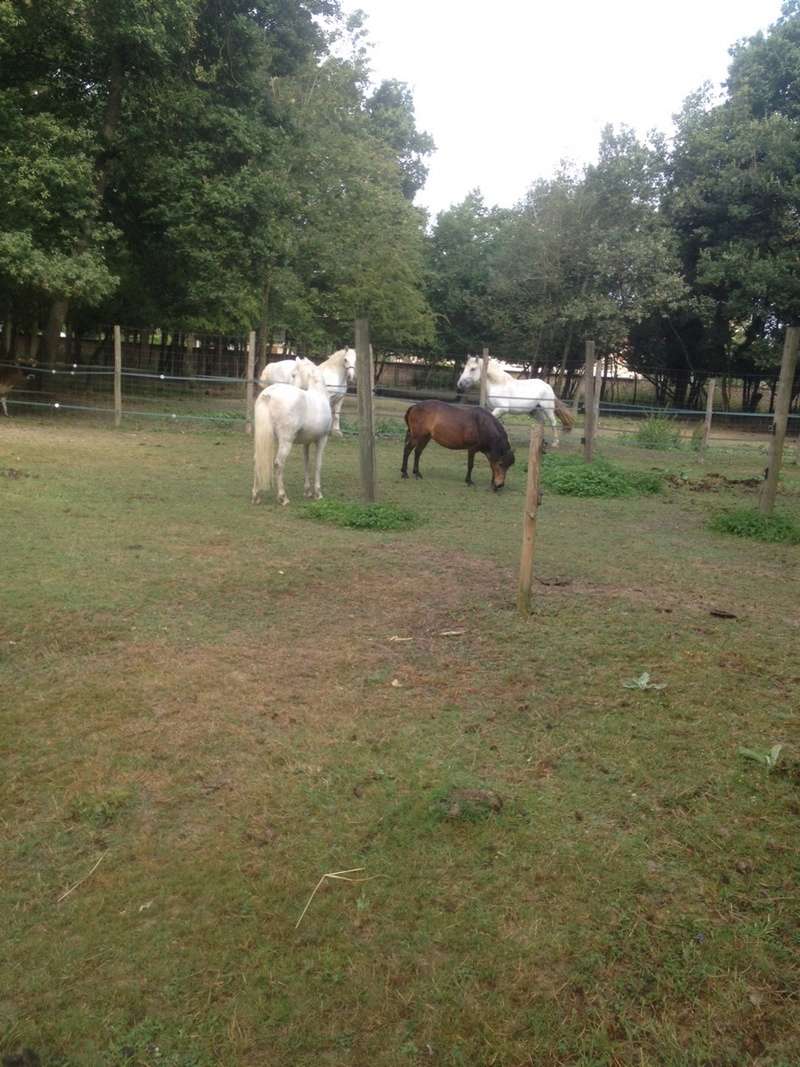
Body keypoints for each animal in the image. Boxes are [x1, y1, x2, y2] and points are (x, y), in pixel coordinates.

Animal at [253, 358, 334, 507]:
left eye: (294, 374)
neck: (319, 394)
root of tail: (269, 394)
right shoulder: (322, 439)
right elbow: (318, 464)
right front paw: (318, 493)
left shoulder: (306, 443)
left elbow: (306, 463)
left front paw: (307, 491)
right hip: (286, 442)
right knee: (278, 463)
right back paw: (283, 497)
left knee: (257, 460)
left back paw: (256, 496)